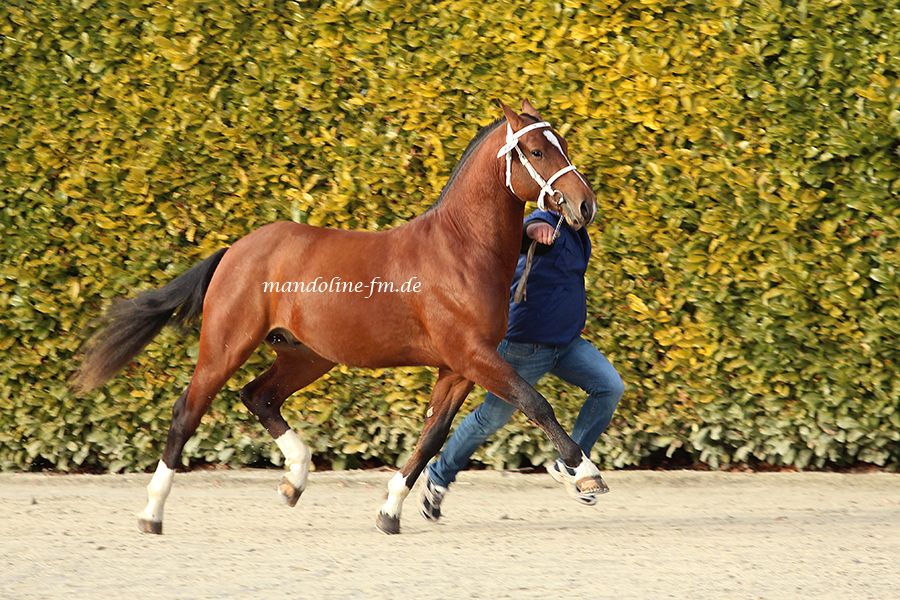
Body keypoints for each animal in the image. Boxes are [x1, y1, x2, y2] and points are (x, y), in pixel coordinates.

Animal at [73, 100, 602, 535]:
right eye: (536, 150)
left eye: (563, 144)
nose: (584, 205)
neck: (461, 248)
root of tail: (235, 250)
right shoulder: (472, 355)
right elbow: (535, 402)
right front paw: (586, 475)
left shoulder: (457, 367)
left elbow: (432, 436)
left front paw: (390, 511)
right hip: (225, 346)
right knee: (188, 411)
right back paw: (151, 513)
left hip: (306, 355)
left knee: (259, 396)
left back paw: (294, 480)